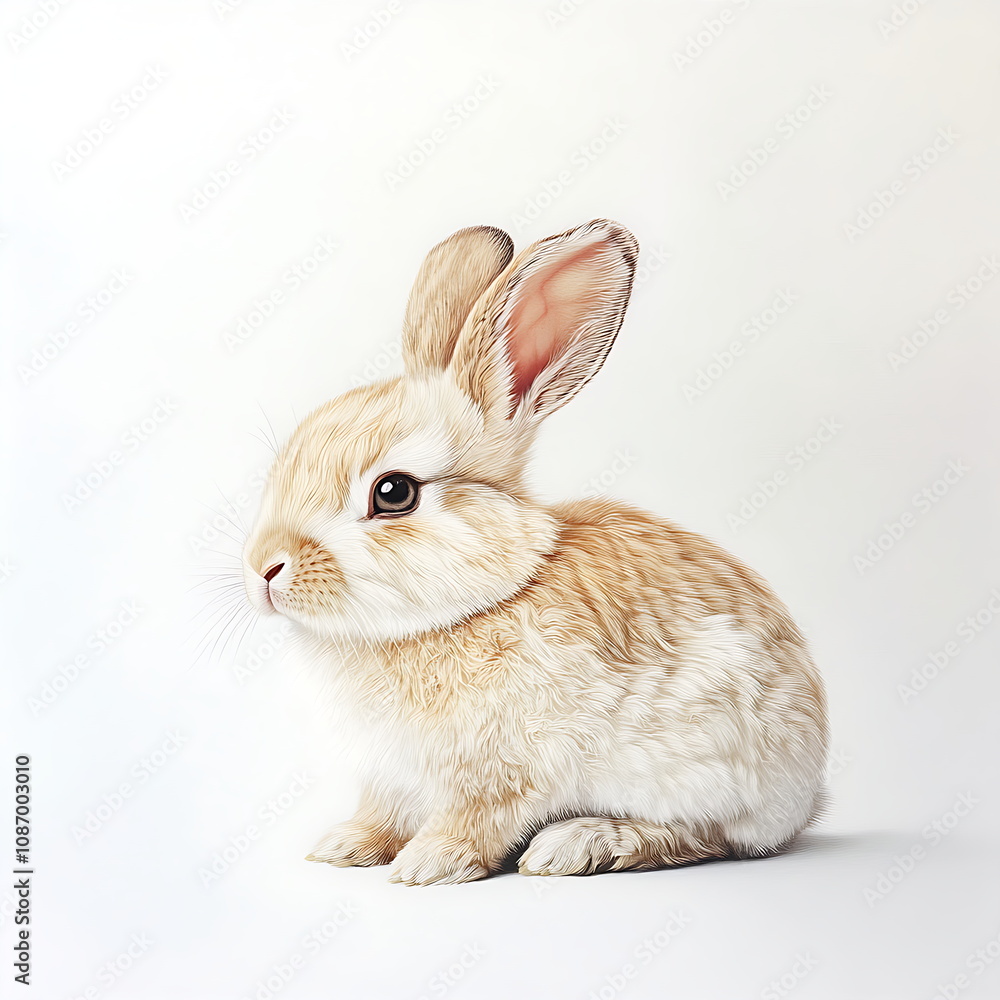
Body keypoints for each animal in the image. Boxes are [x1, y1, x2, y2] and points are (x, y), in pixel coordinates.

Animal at [241, 219, 829, 885]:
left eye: (393, 493)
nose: (263, 568)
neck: (477, 603)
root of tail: (807, 794)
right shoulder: (388, 778)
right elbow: (380, 813)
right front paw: (344, 847)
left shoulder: (501, 770)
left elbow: (475, 820)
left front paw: (427, 864)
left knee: (705, 838)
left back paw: (581, 844)